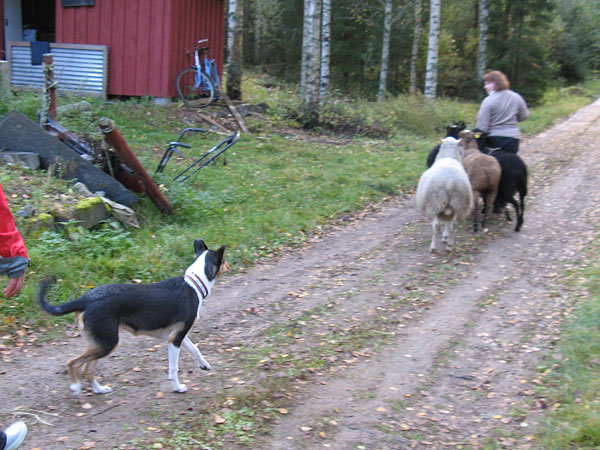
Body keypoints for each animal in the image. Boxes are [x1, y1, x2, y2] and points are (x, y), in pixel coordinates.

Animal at [38, 239, 230, 395]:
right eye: (223, 260)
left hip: (99, 342)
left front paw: (204, 365)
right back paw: (75, 387)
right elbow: (174, 368)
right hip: (107, 342)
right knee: (73, 363)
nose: (229, 265)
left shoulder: (176, 335)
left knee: (87, 370)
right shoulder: (176, 338)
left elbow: (195, 349)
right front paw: (177, 387)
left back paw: (99, 389)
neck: (194, 283)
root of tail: (85, 299)